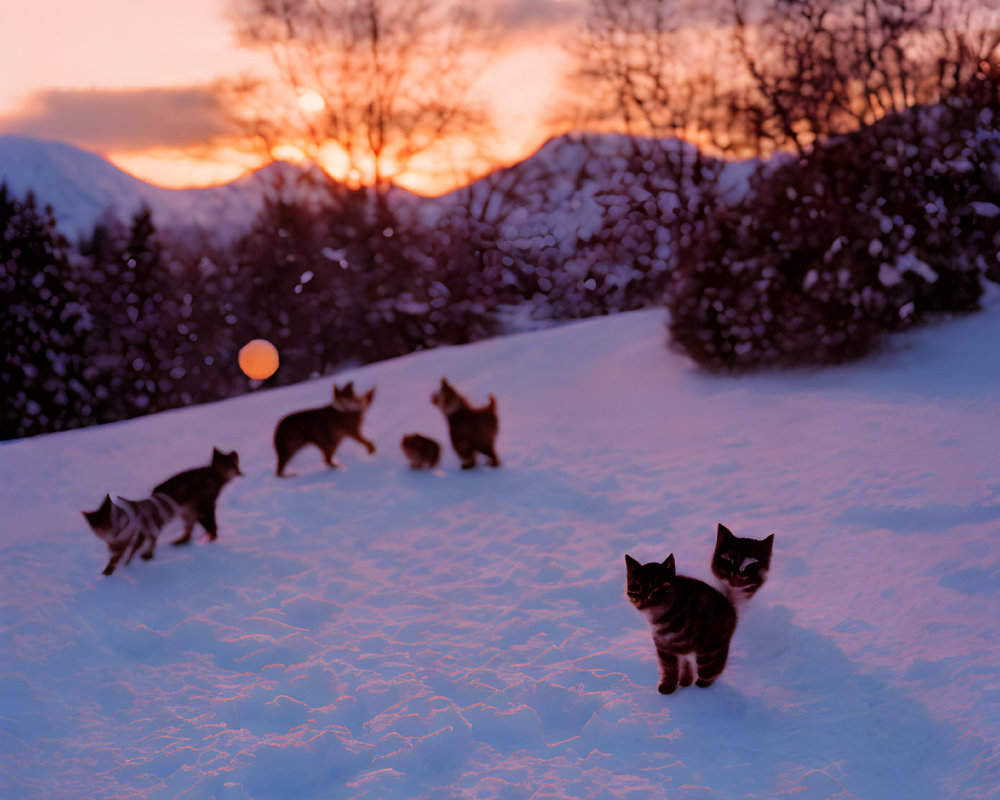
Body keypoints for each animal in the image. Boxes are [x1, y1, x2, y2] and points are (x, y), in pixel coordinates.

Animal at [628, 552, 740, 692]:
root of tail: (731, 607)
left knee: (713, 663)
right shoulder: (664, 647)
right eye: (639, 586)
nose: (647, 596)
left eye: (658, 587)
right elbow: (668, 667)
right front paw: (669, 686)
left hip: (712, 641)